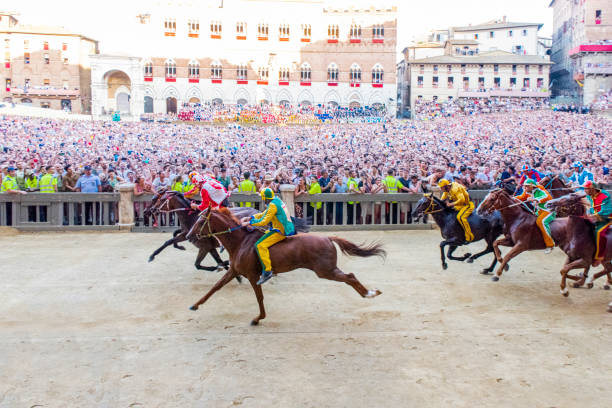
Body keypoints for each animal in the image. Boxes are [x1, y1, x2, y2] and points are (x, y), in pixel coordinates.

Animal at [184, 207, 384, 326]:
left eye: (200, 221)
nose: (188, 236)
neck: (240, 242)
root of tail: (327, 238)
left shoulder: (252, 275)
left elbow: (259, 298)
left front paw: (258, 318)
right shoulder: (234, 271)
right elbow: (215, 287)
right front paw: (195, 305)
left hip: (325, 270)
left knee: (350, 276)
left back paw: (370, 293)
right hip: (326, 270)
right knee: (350, 276)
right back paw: (369, 293)